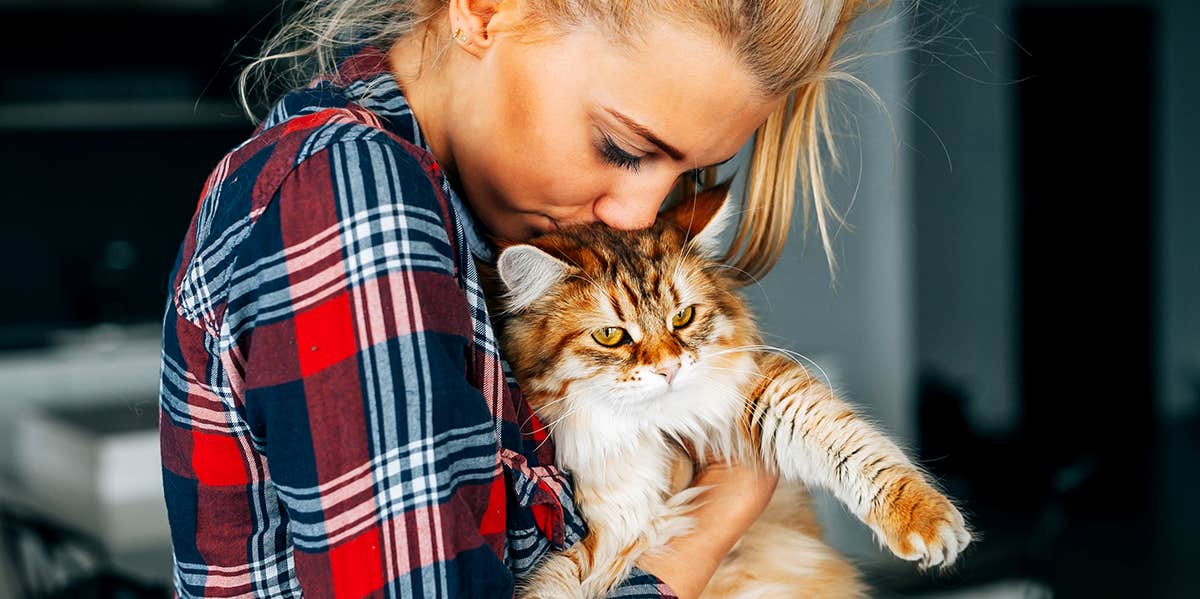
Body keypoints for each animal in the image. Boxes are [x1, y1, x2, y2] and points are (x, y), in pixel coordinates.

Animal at [482, 184, 969, 597]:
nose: (669, 369)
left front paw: (928, 519)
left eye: (683, 318)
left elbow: (850, 444)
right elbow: (560, 582)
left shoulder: (754, 395)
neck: (643, 429)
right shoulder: (602, 537)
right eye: (610, 336)